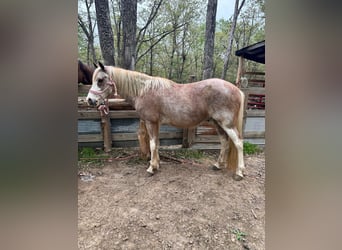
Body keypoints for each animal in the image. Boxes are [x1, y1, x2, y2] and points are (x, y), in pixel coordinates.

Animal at [85, 62, 246, 180]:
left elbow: (152, 144)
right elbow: (156, 143)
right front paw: (156, 165)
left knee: (238, 143)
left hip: (226, 124)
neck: (143, 90)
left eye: (100, 80)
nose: (90, 100)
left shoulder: (150, 122)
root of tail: (236, 89)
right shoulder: (155, 123)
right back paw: (218, 165)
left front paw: (151, 168)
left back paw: (239, 172)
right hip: (217, 123)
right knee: (225, 142)